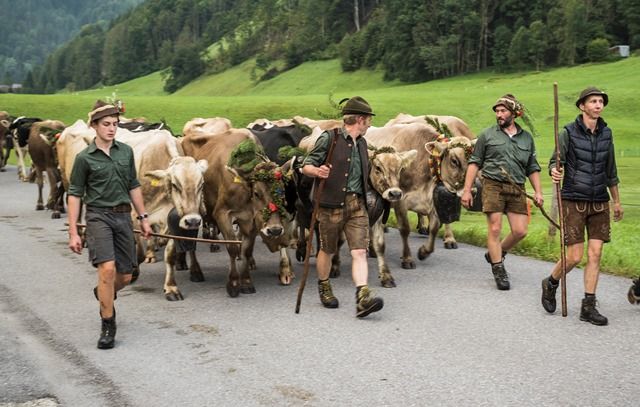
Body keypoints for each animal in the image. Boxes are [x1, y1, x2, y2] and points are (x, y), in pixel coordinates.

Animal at [181, 128, 293, 297]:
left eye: (282, 193)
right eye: (257, 193)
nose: (274, 230)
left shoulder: (252, 220)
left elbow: (247, 250)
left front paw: (246, 282)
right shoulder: (222, 214)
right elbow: (232, 247)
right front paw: (233, 283)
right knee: (190, 242)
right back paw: (195, 271)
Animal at [365, 122, 476, 269]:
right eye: (454, 161)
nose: (473, 190)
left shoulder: (433, 201)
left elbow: (434, 228)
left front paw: (424, 252)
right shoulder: (400, 200)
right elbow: (405, 229)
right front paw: (407, 258)